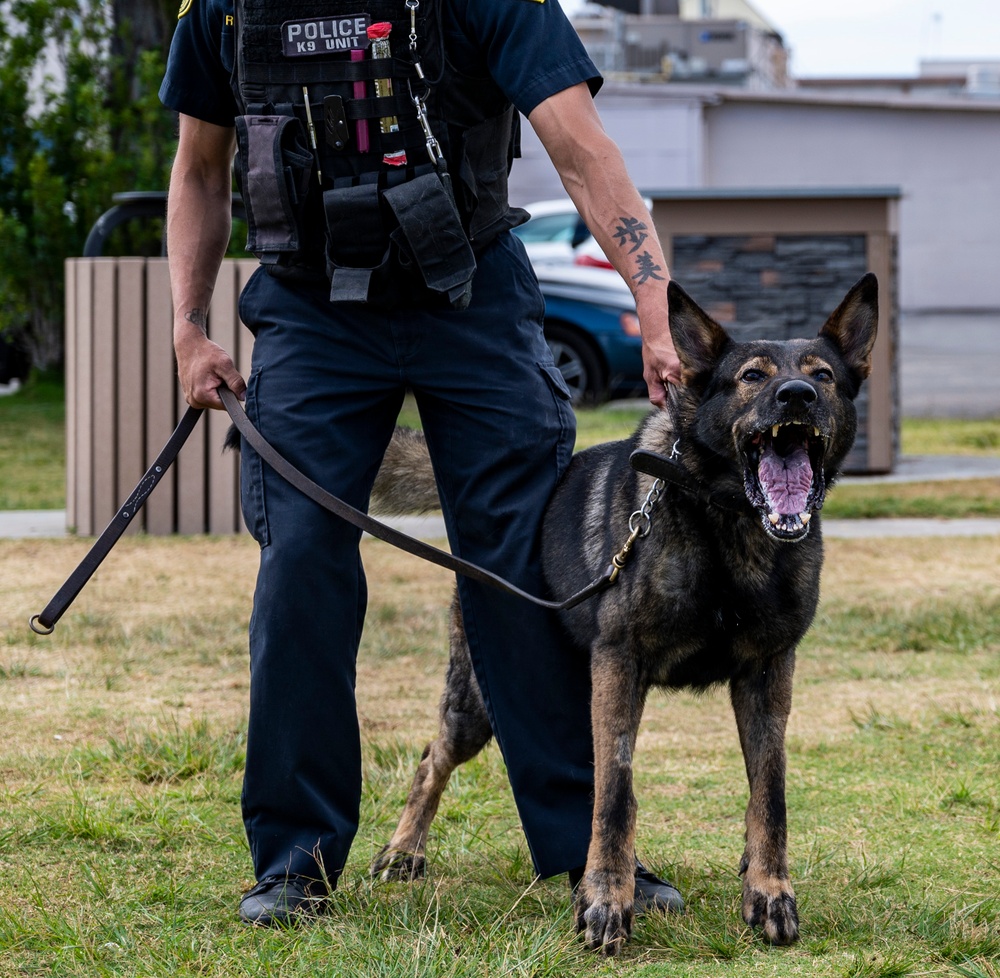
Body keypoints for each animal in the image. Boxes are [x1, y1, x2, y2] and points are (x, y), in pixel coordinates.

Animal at [368, 270, 876, 948]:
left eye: (822, 375)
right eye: (752, 376)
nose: (797, 396)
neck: (724, 520)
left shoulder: (769, 673)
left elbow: (769, 793)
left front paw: (769, 890)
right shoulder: (619, 666)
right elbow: (614, 792)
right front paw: (608, 899)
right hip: (477, 701)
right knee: (432, 758)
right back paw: (404, 851)